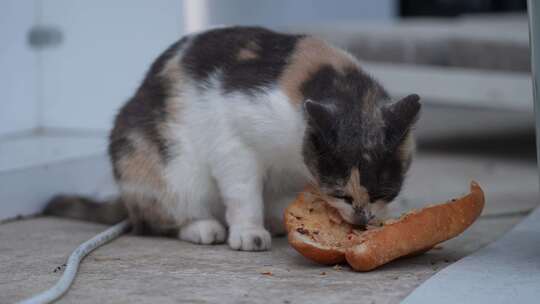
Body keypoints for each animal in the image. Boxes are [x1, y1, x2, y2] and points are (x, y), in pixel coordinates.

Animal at [44, 26, 420, 251]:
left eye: (383, 194)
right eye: (340, 194)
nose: (362, 219)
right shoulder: (234, 141)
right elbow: (243, 194)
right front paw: (249, 232)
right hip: (163, 169)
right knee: (156, 219)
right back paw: (202, 228)